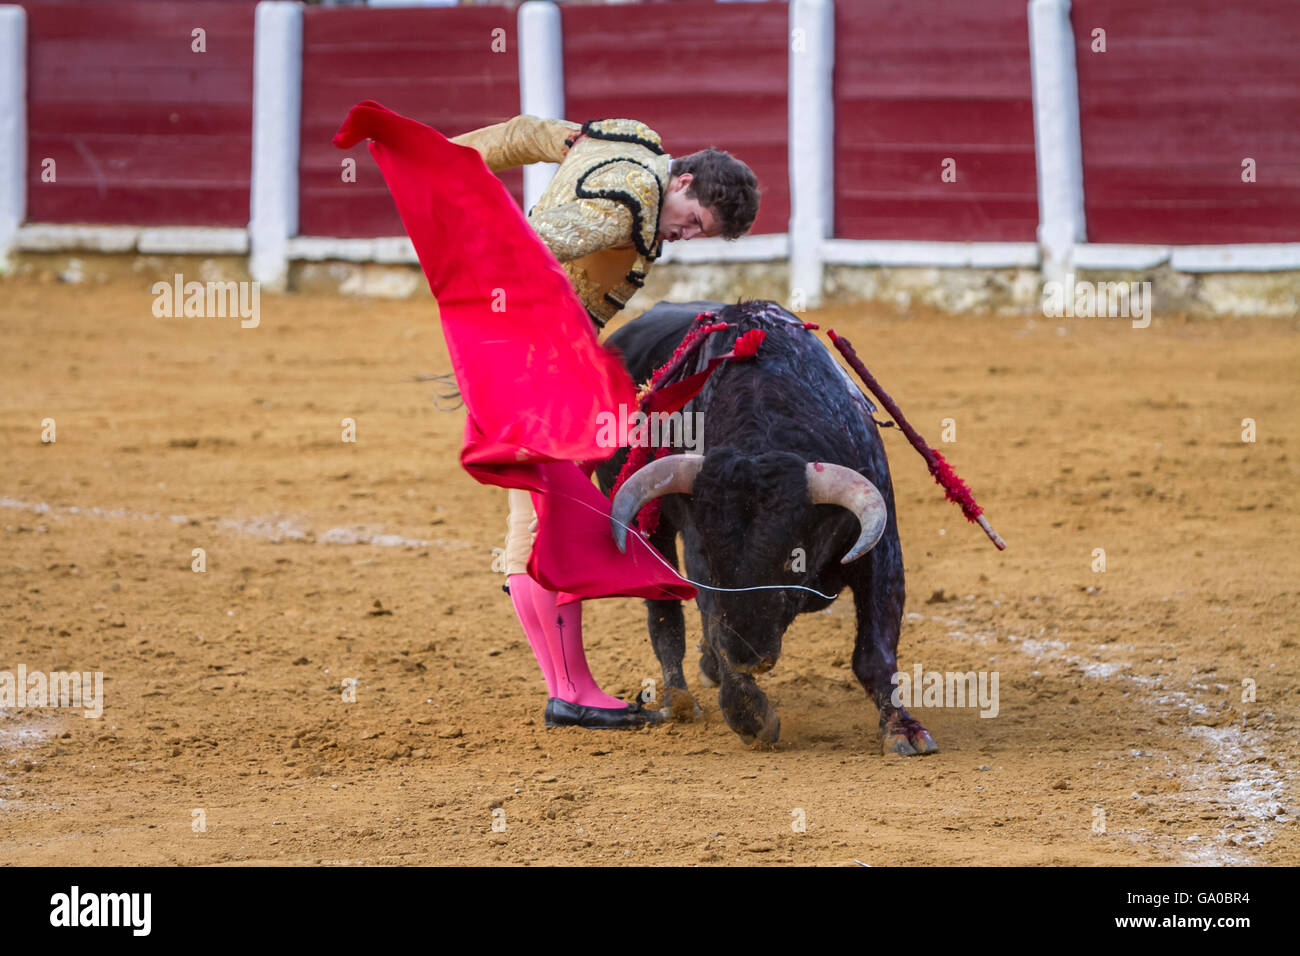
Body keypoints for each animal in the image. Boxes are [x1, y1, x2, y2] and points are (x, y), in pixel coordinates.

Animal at [595, 299, 941, 754]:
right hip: (649, 530)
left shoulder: (880, 552)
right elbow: (713, 623)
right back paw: (679, 700)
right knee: (666, 616)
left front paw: (903, 729)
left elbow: (875, 650)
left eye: (794, 559)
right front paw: (751, 717)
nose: (749, 656)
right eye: (711, 558)